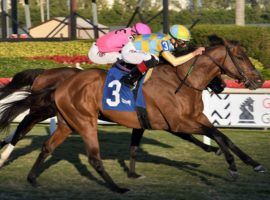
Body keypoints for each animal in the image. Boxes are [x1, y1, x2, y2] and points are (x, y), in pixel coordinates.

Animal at [0, 67, 219, 170]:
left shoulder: (162, 119)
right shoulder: (166, 119)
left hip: (48, 110)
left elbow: (187, 135)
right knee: (23, 125)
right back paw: (4, 156)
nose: (220, 85)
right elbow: (186, 133)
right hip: (41, 108)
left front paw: (213, 149)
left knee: (23, 126)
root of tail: (44, 72)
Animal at [22, 37, 264, 192]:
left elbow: (222, 135)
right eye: (240, 57)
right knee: (93, 157)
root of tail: (63, 84)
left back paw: (32, 178)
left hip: (67, 122)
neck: (182, 81)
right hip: (85, 121)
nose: (259, 80)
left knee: (48, 147)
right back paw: (117, 188)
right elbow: (216, 134)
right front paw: (232, 165)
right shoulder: (177, 122)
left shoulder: (190, 119)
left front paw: (252, 163)